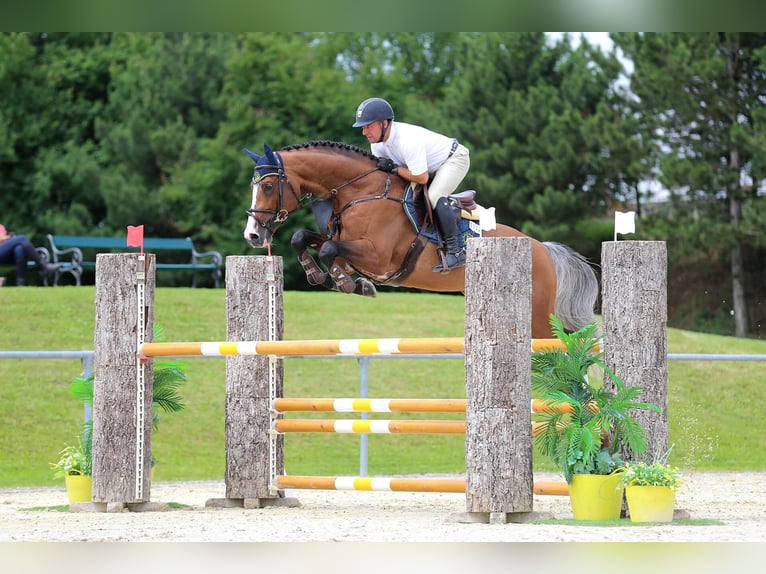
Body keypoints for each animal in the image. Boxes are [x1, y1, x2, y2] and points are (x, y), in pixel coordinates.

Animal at [242, 140, 600, 340]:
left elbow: (330, 248)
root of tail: (542, 248)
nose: (253, 235)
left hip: (537, 315)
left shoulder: (379, 258)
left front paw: (346, 283)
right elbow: (305, 238)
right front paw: (330, 278)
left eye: (269, 186)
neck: (359, 191)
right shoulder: (351, 252)